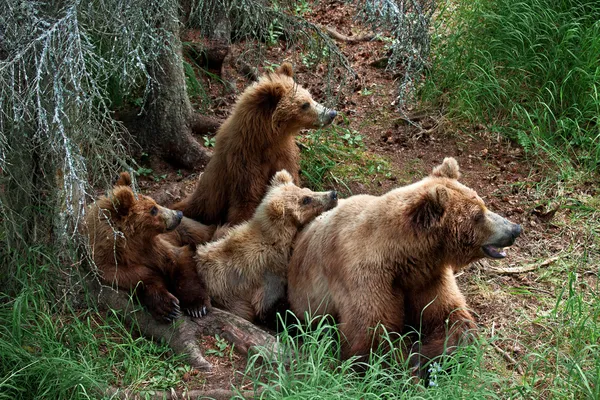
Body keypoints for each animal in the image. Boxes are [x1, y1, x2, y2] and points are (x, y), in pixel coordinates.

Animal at [85, 172, 213, 322]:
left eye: (155, 203)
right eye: (153, 209)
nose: (178, 214)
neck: (132, 246)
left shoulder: (156, 248)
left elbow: (180, 260)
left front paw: (197, 306)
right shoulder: (111, 266)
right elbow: (140, 278)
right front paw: (168, 308)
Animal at [173, 62, 338, 225]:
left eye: (310, 97)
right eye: (304, 104)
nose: (332, 113)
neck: (265, 140)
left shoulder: (283, 154)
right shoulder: (244, 162)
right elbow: (247, 199)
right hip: (210, 194)